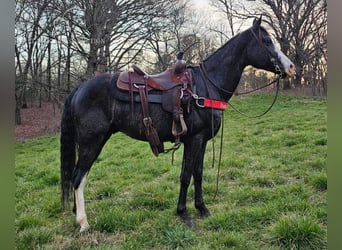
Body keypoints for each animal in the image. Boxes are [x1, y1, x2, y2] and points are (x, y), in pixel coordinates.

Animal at [59, 17, 294, 232]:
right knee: (79, 177)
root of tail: (79, 89)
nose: (291, 67)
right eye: (267, 41)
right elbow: (186, 175)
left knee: (77, 177)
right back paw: (83, 222)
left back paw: (76, 213)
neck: (206, 86)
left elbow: (198, 173)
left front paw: (202, 208)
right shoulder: (194, 139)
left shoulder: (202, 140)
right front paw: (184, 213)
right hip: (92, 142)